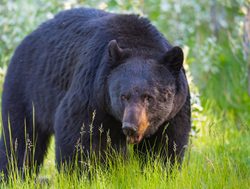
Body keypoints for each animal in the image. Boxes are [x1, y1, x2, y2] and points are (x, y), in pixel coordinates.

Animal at [0, 7, 190, 176]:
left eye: (149, 97)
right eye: (123, 96)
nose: (130, 126)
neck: (138, 44)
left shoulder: (175, 111)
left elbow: (165, 146)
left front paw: (159, 172)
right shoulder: (92, 91)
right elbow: (77, 135)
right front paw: (81, 175)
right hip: (26, 90)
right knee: (20, 138)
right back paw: (13, 174)